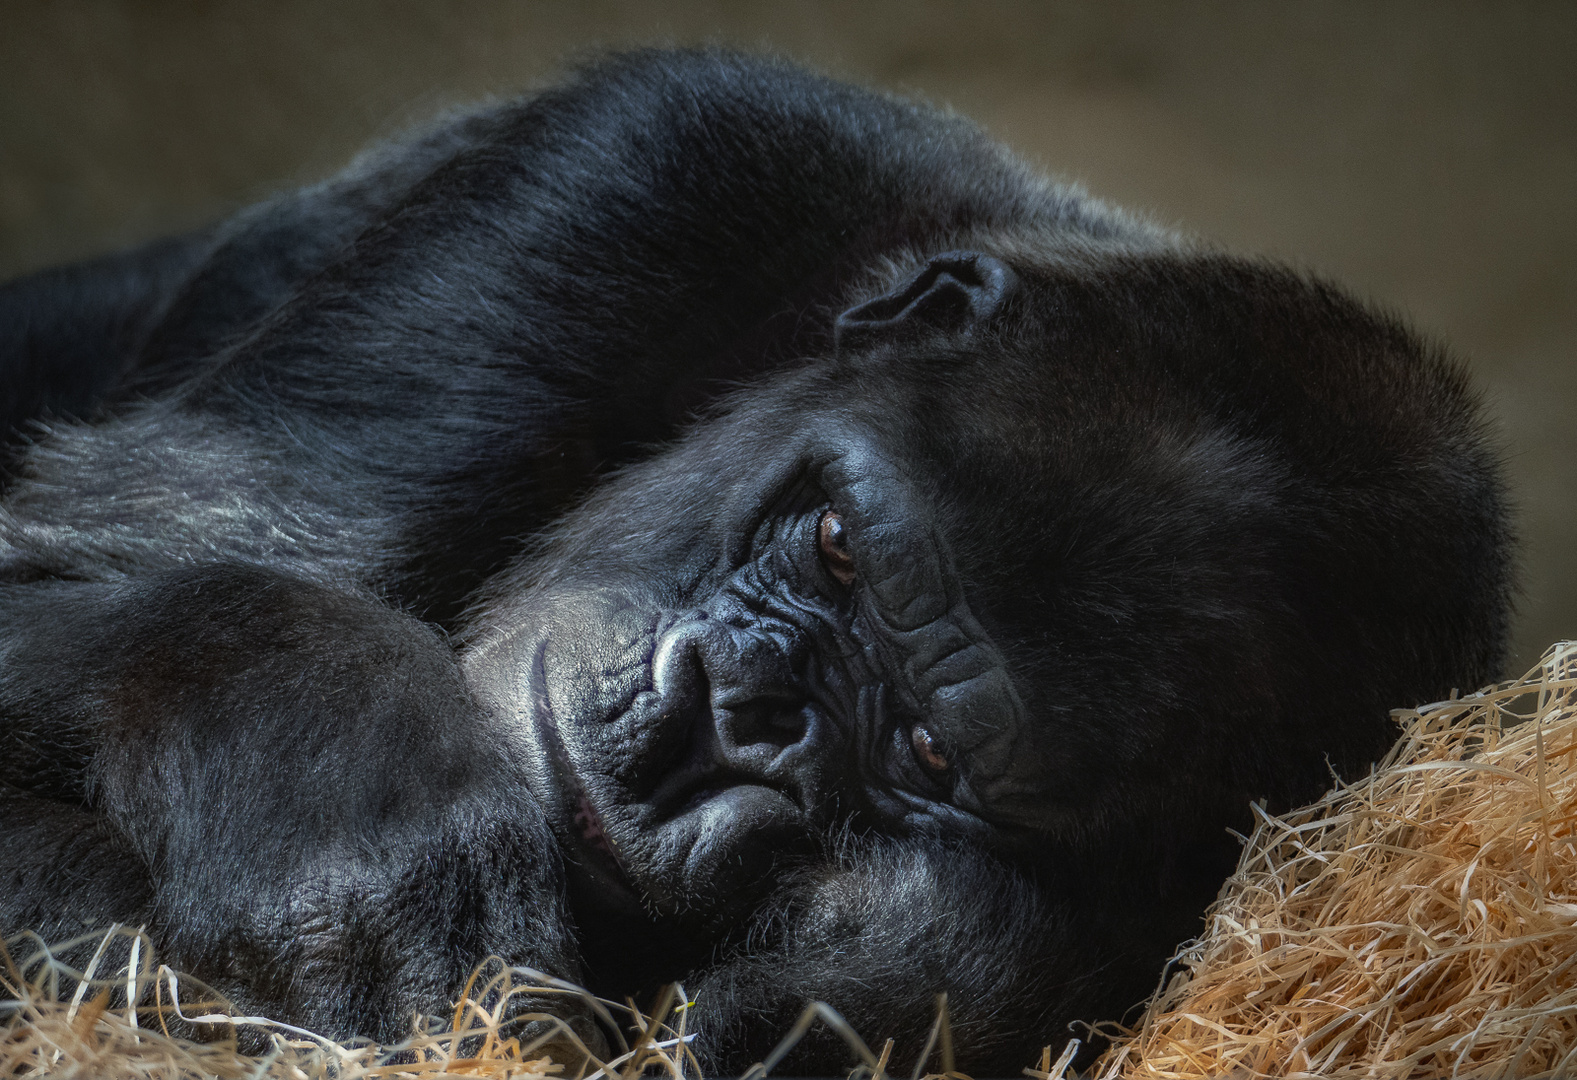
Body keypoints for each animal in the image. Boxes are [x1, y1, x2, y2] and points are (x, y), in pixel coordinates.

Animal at [0, 48, 1513, 1072]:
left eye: (929, 755)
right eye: (837, 545)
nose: (736, 710)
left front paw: (898, 960)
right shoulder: (653, 170)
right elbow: (82, 566)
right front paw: (336, 780)